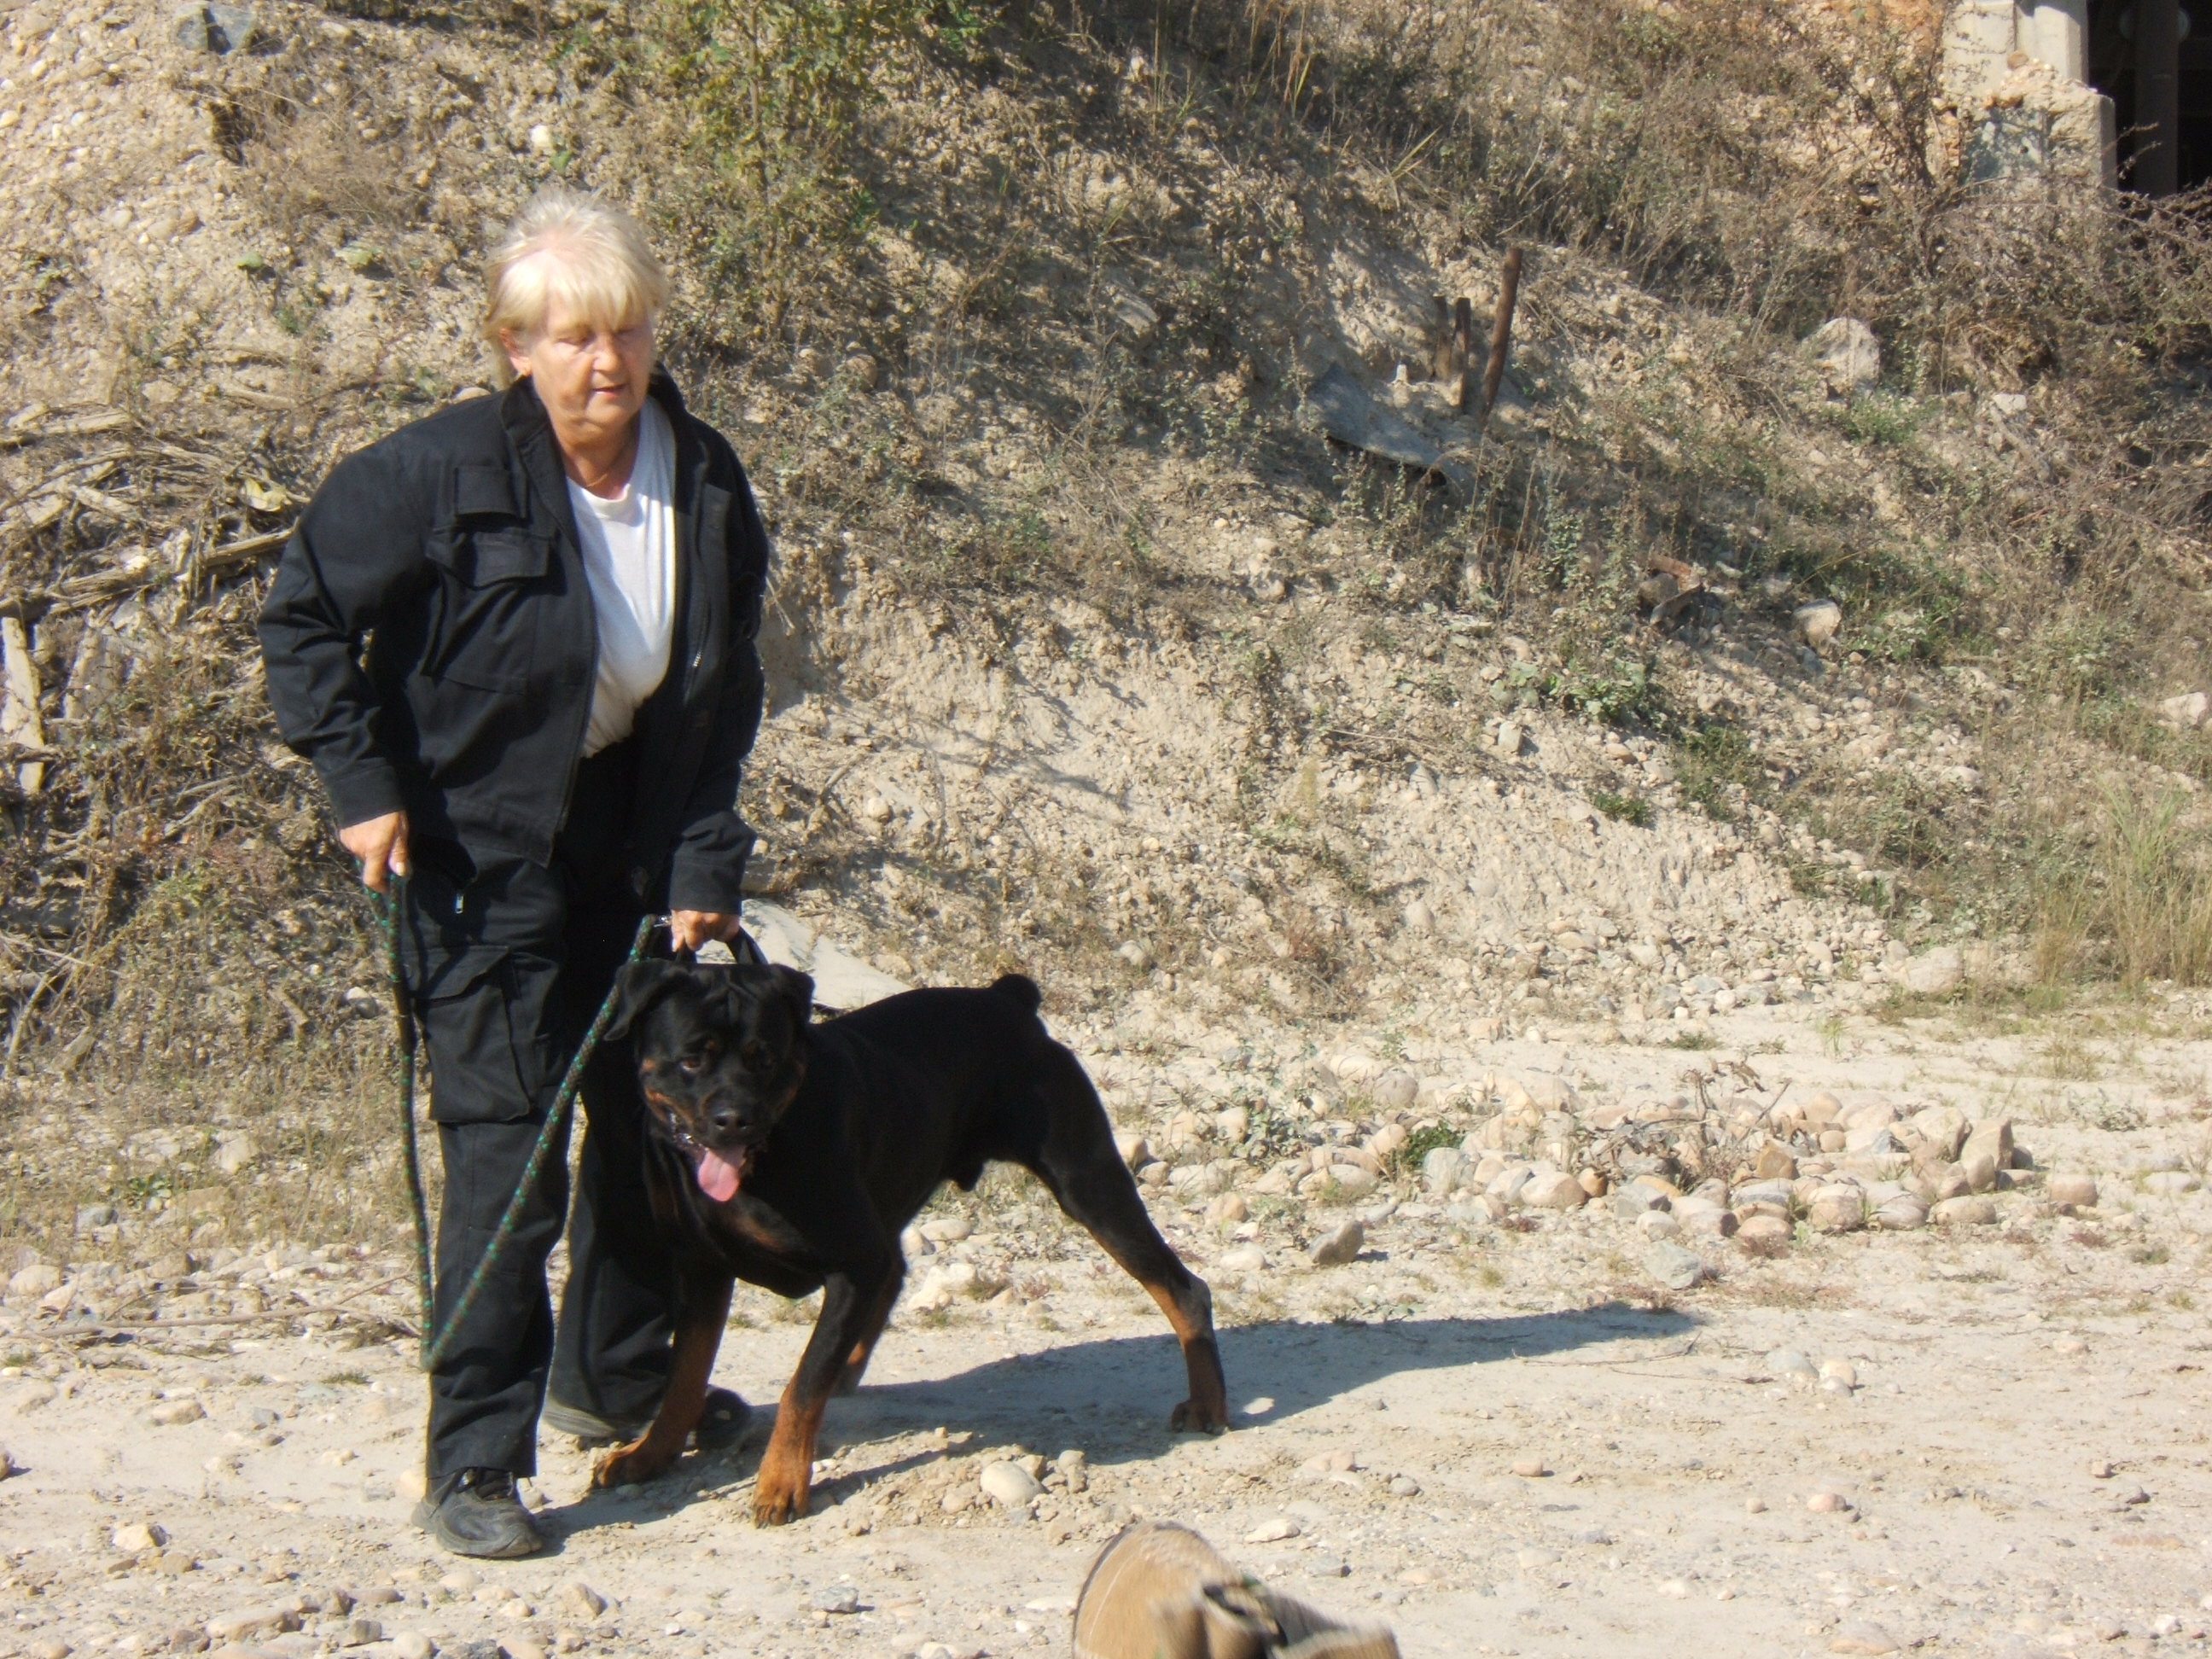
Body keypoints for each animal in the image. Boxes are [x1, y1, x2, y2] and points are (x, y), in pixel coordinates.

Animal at [590, 958, 1229, 1524]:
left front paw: (780, 1482)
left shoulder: (854, 1260)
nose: (734, 1118)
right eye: (691, 1058)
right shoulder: (699, 1267)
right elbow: (684, 1375)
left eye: (763, 1059)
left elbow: (802, 1384)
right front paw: (649, 1454)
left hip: (1087, 1181)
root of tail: (1008, 999)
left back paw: (1207, 1402)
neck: (764, 1159)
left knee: (1183, 1288)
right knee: (894, 1272)